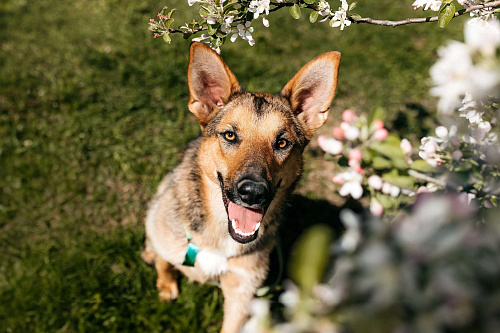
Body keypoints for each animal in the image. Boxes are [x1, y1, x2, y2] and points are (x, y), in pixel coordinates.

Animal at [143, 42, 342, 332]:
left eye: (282, 142)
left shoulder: (243, 291)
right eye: (230, 135)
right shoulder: (168, 238)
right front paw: (166, 284)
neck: (220, 236)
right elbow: (164, 261)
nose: (253, 192)